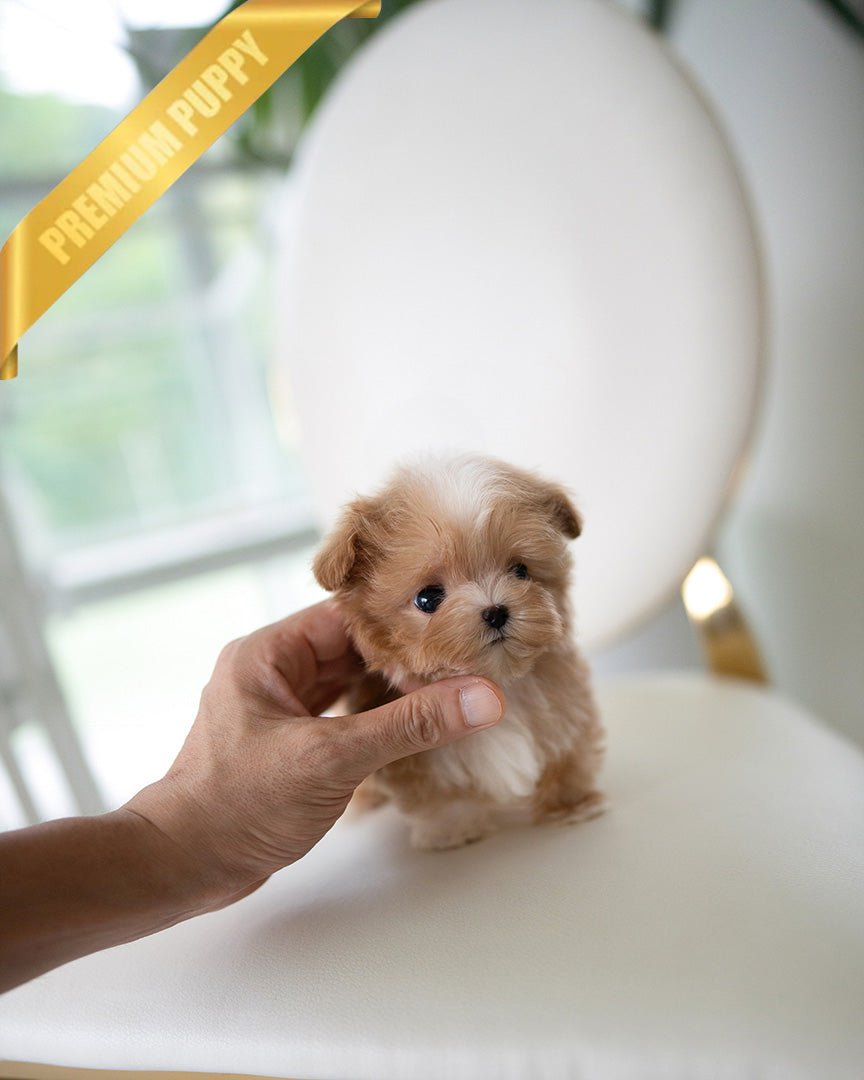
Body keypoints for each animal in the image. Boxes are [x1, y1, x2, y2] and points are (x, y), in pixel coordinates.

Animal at [313, 454, 605, 850]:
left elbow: (567, 755)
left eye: (521, 570)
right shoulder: (422, 761)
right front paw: (454, 831)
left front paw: (572, 805)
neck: (498, 681)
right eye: (427, 599)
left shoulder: (564, 706)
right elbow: (441, 796)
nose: (496, 611)